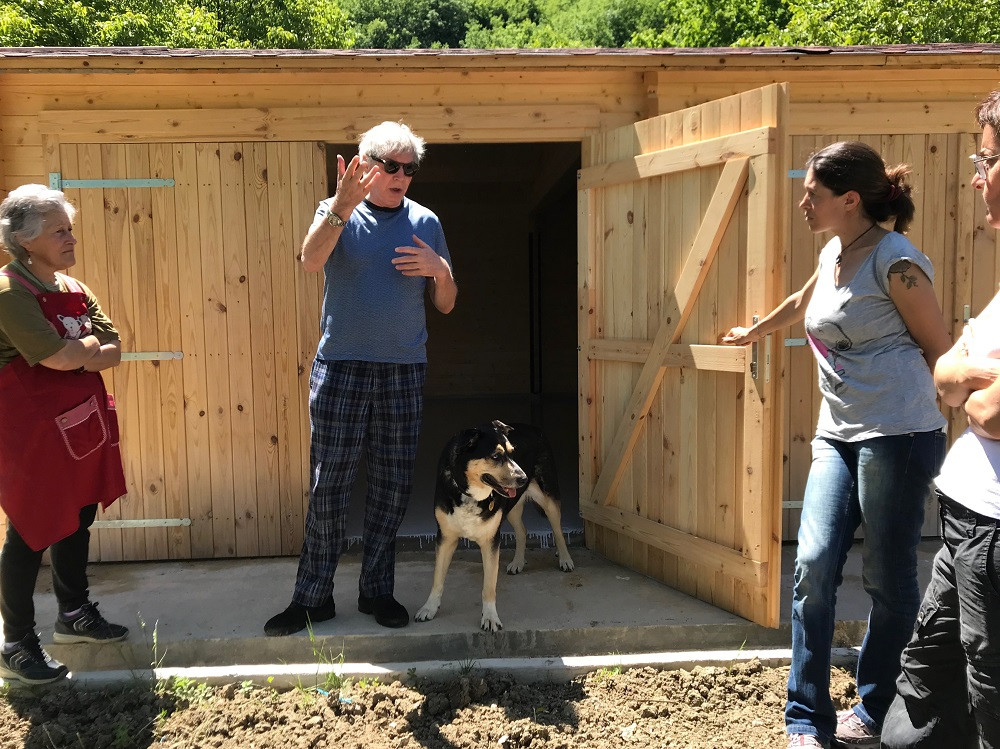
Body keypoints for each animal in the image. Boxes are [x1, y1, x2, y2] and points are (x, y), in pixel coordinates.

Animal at [412, 420, 572, 632]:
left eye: (512, 453)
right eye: (495, 456)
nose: (523, 478)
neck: (470, 494)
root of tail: (534, 427)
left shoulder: (490, 542)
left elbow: (489, 587)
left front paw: (489, 618)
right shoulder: (445, 538)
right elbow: (437, 578)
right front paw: (429, 608)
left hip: (549, 499)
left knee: (558, 531)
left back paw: (565, 559)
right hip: (512, 508)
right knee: (522, 531)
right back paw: (518, 562)